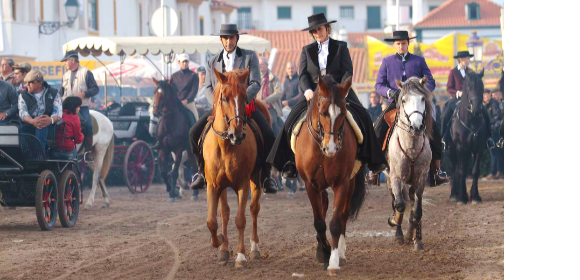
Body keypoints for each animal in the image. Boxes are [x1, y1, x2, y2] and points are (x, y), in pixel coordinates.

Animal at [202, 68, 272, 270]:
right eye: (224, 98)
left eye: (244, 97)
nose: (237, 134)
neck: (226, 146)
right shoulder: (214, 186)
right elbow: (213, 220)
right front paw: (220, 244)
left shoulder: (243, 185)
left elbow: (240, 220)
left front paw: (240, 257)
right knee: (224, 213)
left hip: (256, 180)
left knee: (254, 209)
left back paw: (255, 249)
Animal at [294, 75, 368, 276]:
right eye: (322, 112)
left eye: (343, 113)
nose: (332, 149)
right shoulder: (310, 185)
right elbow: (319, 221)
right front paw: (323, 252)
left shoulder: (342, 183)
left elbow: (335, 222)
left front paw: (333, 261)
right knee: (324, 207)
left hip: (350, 183)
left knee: (343, 215)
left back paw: (340, 253)